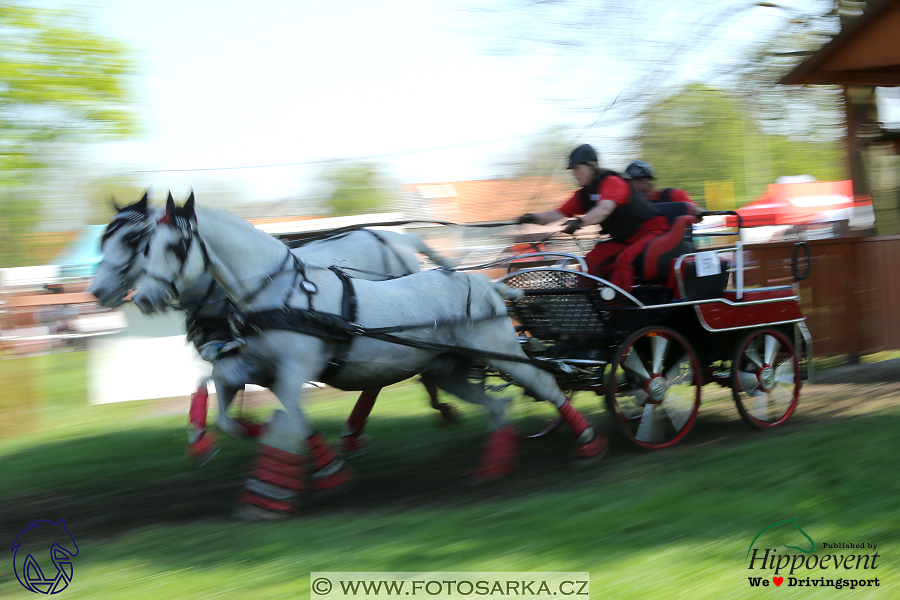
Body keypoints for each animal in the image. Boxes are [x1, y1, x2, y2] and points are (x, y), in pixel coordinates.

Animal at [88, 192, 458, 460]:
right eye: (104, 240)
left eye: (135, 239)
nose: (98, 292)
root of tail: (399, 239)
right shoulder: (228, 349)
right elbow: (207, 383)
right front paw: (203, 435)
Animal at [134, 195, 608, 516]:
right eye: (146, 246)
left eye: (175, 247)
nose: (142, 299)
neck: (280, 293)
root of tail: (488, 285)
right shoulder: (256, 364)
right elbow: (225, 397)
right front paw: (218, 438)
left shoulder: (293, 372)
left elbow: (289, 420)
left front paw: (293, 485)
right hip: (450, 368)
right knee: (499, 406)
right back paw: (493, 467)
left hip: (502, 354)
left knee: (545, 384)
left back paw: (588, 441)